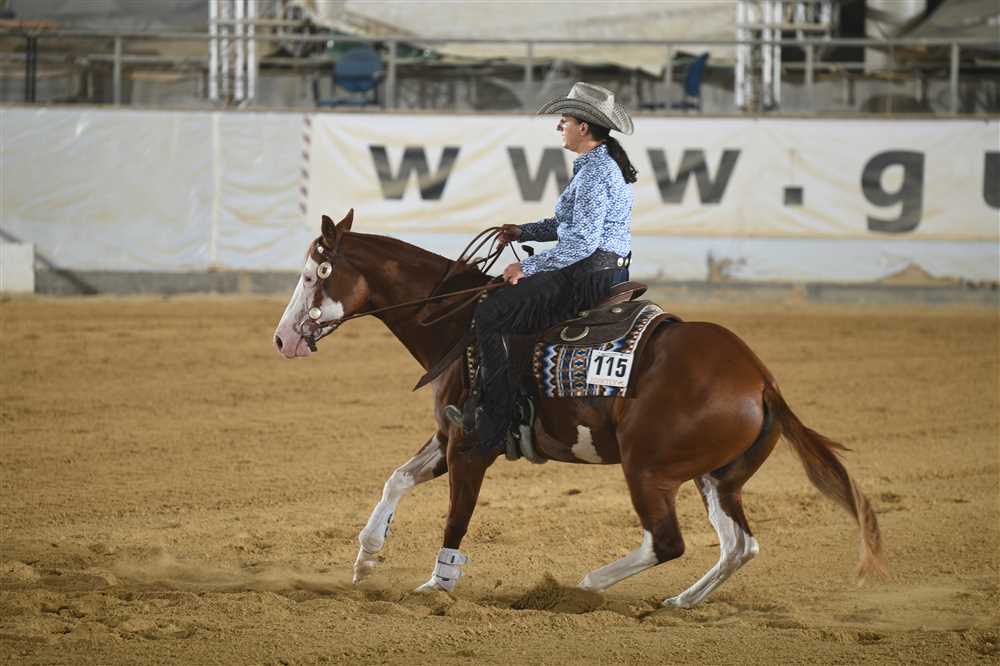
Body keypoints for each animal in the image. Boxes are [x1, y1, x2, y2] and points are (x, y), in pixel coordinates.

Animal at [273, 209, 883, 607]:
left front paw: (437, 586)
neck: (459, 322)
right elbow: (396, 479)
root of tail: (760, 379)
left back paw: (581, 586)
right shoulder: (450, 436)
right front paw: (366, 557)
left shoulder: (472, 444)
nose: (283, 340)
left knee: (668, 541)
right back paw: (679, 603)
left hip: (648, 468)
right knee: (738, 545)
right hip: (716, 477)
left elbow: (457, 516)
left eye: (310, 275)